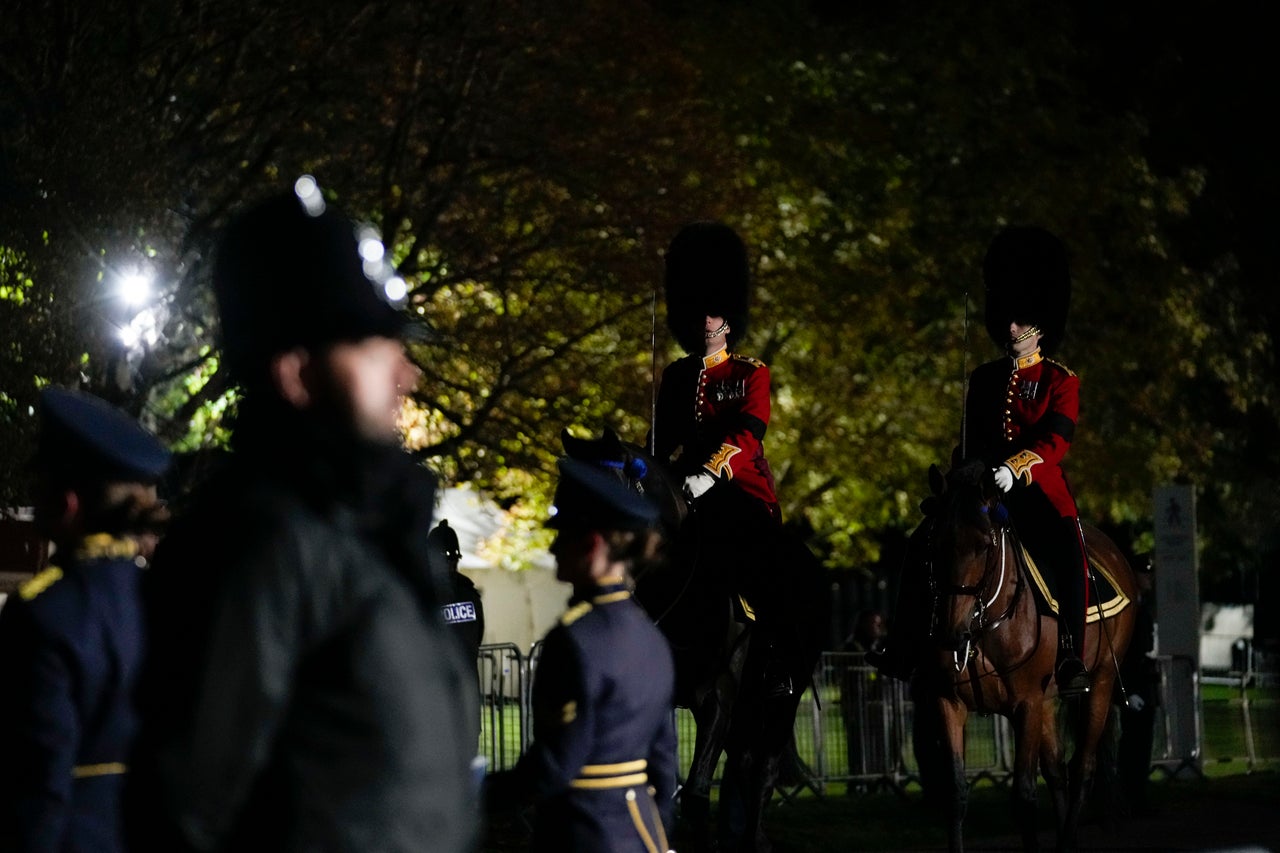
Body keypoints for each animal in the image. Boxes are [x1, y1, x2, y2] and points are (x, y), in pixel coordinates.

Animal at [916, 461, 1136, 845]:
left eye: (984, 546)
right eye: (934, 543)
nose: (951, 634)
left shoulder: (1026, 704)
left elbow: (1024, 796)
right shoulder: (949, 703)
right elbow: (956, 794)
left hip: (1102, 681)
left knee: (1083, 769)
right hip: (1048, 703)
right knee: (1058, 770)